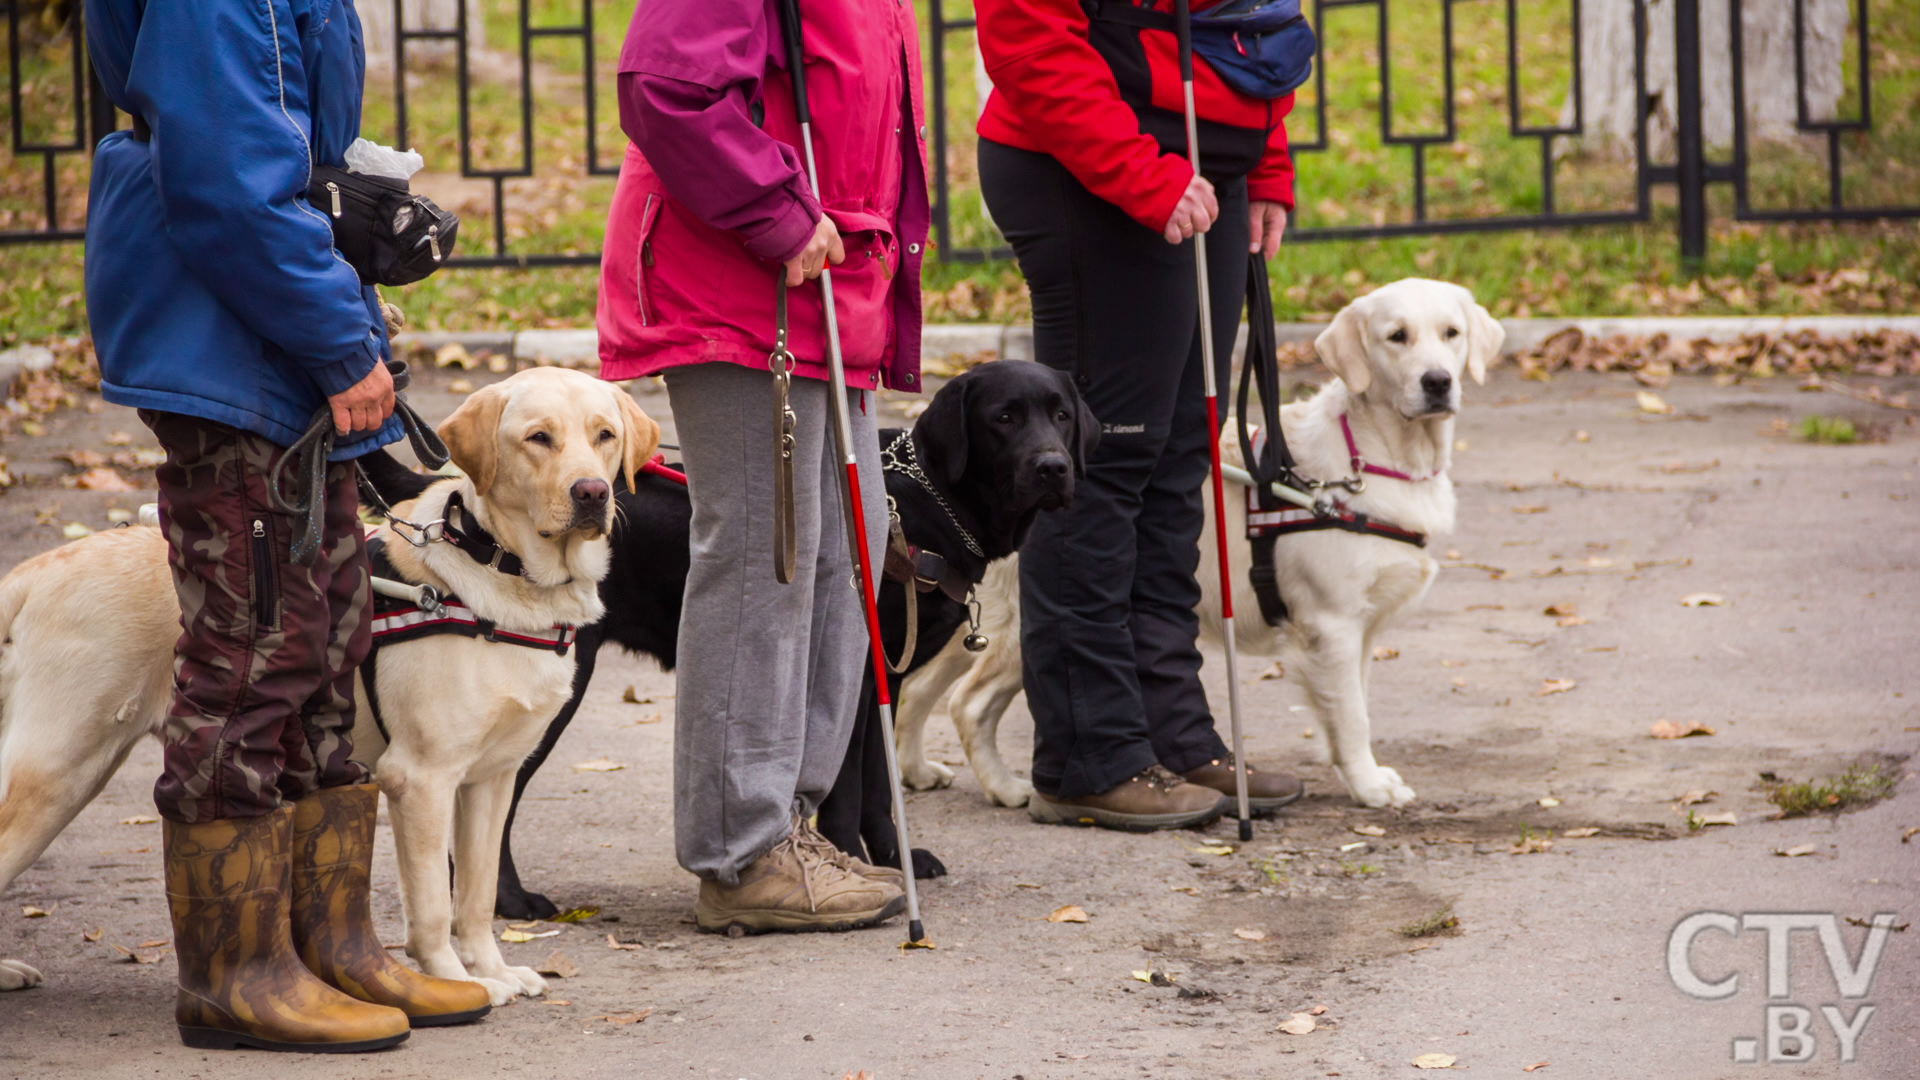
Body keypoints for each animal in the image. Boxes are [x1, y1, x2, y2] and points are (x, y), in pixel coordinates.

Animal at [887, 276, 1497, 807]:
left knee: (917, 691)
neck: (1374, 457)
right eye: (1396, 336)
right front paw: (1369, 787)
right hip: (1014, 631)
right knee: (968, 704)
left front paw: (1353, 768)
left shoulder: (1360, 629)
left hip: (962, 617)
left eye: (1451, 333)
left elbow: (1350, 703)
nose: (1438, 382)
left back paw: (915, 771)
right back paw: (1007, 788)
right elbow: (1354, 714)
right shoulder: (1333, 623)